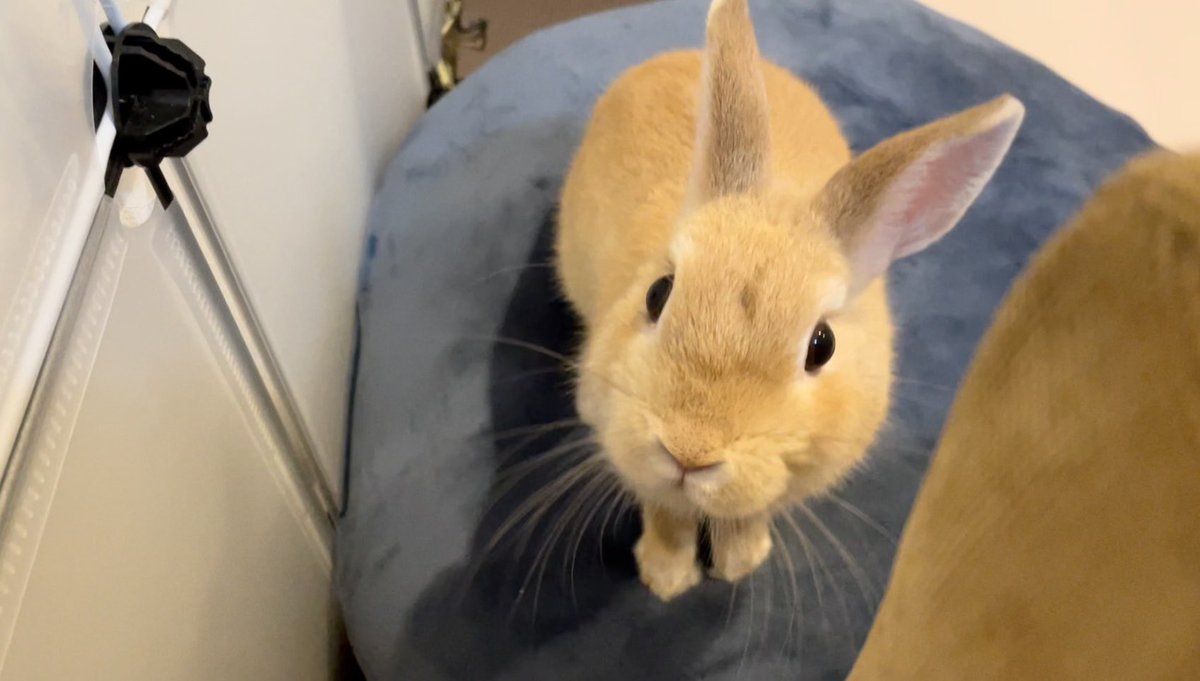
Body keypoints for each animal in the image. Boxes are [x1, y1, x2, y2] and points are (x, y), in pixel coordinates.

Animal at [554, 0, 1024, 601]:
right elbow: (666, 510)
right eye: (658, 294)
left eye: (822, 347)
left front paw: (740, 562)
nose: (689, 451)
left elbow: (747, 513)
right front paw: (666, 579)